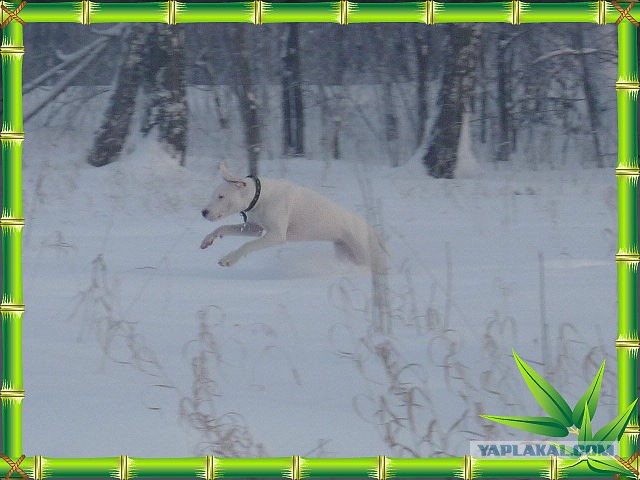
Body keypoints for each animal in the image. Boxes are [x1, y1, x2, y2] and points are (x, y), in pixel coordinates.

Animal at [202, 162, 388, 272]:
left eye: (221, 196)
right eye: (212, 195)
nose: (203, 212)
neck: (261, 195)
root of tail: (369, 228)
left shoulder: (276, 235)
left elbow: (248, 245)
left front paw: (229, 259)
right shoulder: (253, 228)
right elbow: (223, 228)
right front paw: (208, 239)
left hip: (365, 254)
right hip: (346, 252)